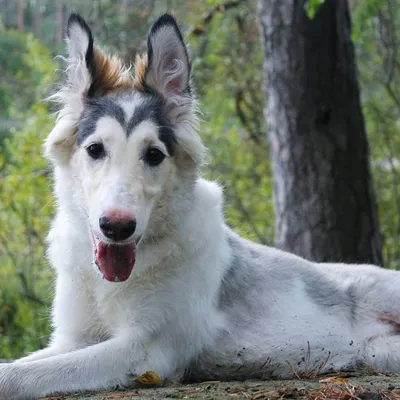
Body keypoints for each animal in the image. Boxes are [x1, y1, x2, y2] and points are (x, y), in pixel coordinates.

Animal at [0, 10, 400, 398]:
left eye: (154, 154)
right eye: (95, 149)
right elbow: (21, 363)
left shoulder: (145, 350)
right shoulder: (72, 339)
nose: (117, 227)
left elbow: (20, 375)